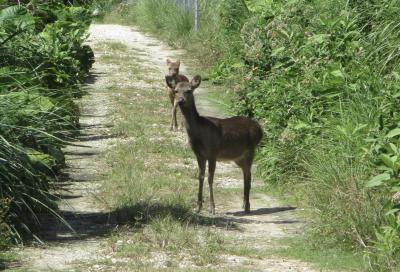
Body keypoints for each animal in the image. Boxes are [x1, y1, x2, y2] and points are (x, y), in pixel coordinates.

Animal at [166, 74, 262, 215]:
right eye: (176, 90)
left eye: (189, 90)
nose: (180, 100)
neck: (200, 133)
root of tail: (260, 129)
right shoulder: (199, 154)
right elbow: (200, 176)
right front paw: (198, 207)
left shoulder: (213, 152)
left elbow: (210, 178)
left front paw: (212, 208)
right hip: (238, 157)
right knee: (245, 174)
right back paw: (244, 204)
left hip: (251, 150)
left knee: (248, 176)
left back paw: (247, 207)